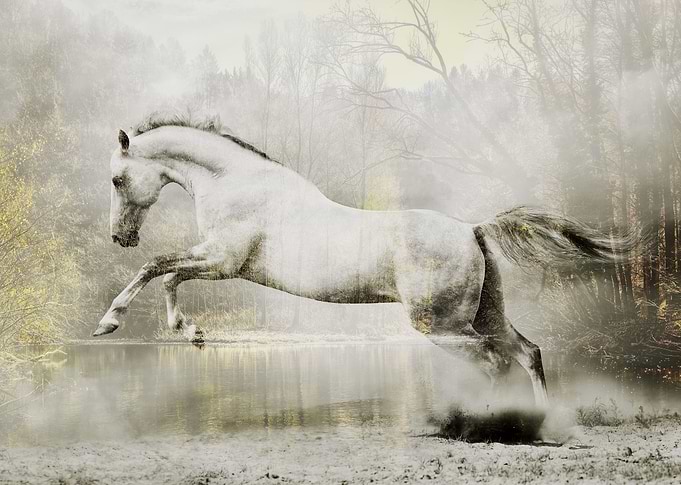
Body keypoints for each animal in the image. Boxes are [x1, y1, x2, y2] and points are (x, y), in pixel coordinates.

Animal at [92, 113, 635, 407]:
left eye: (117, 179)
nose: (120, 237)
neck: (234, 182)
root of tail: (472, 230)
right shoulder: (215, 262)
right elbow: (166, 276)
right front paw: (192, 333)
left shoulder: (222, 261)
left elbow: (156, 268)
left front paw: (109, 323)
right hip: (486, 314)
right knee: (527, 353)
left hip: (442, 325)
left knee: (495, 364)